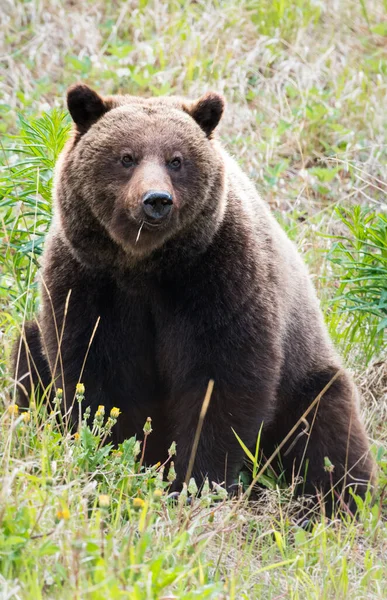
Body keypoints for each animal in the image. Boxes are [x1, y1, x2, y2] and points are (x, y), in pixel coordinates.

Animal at [14, 82, 376, 508]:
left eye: (176, 160)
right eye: (126, 157)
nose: (156, 200)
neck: (143, 266)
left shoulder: (217, 279)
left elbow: (219, 384)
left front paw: (195, 481)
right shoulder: (88, 281)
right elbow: (93, 372)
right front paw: (112, 453)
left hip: (305, 375)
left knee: (325, 434)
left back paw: (333, 502)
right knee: (27, 353)